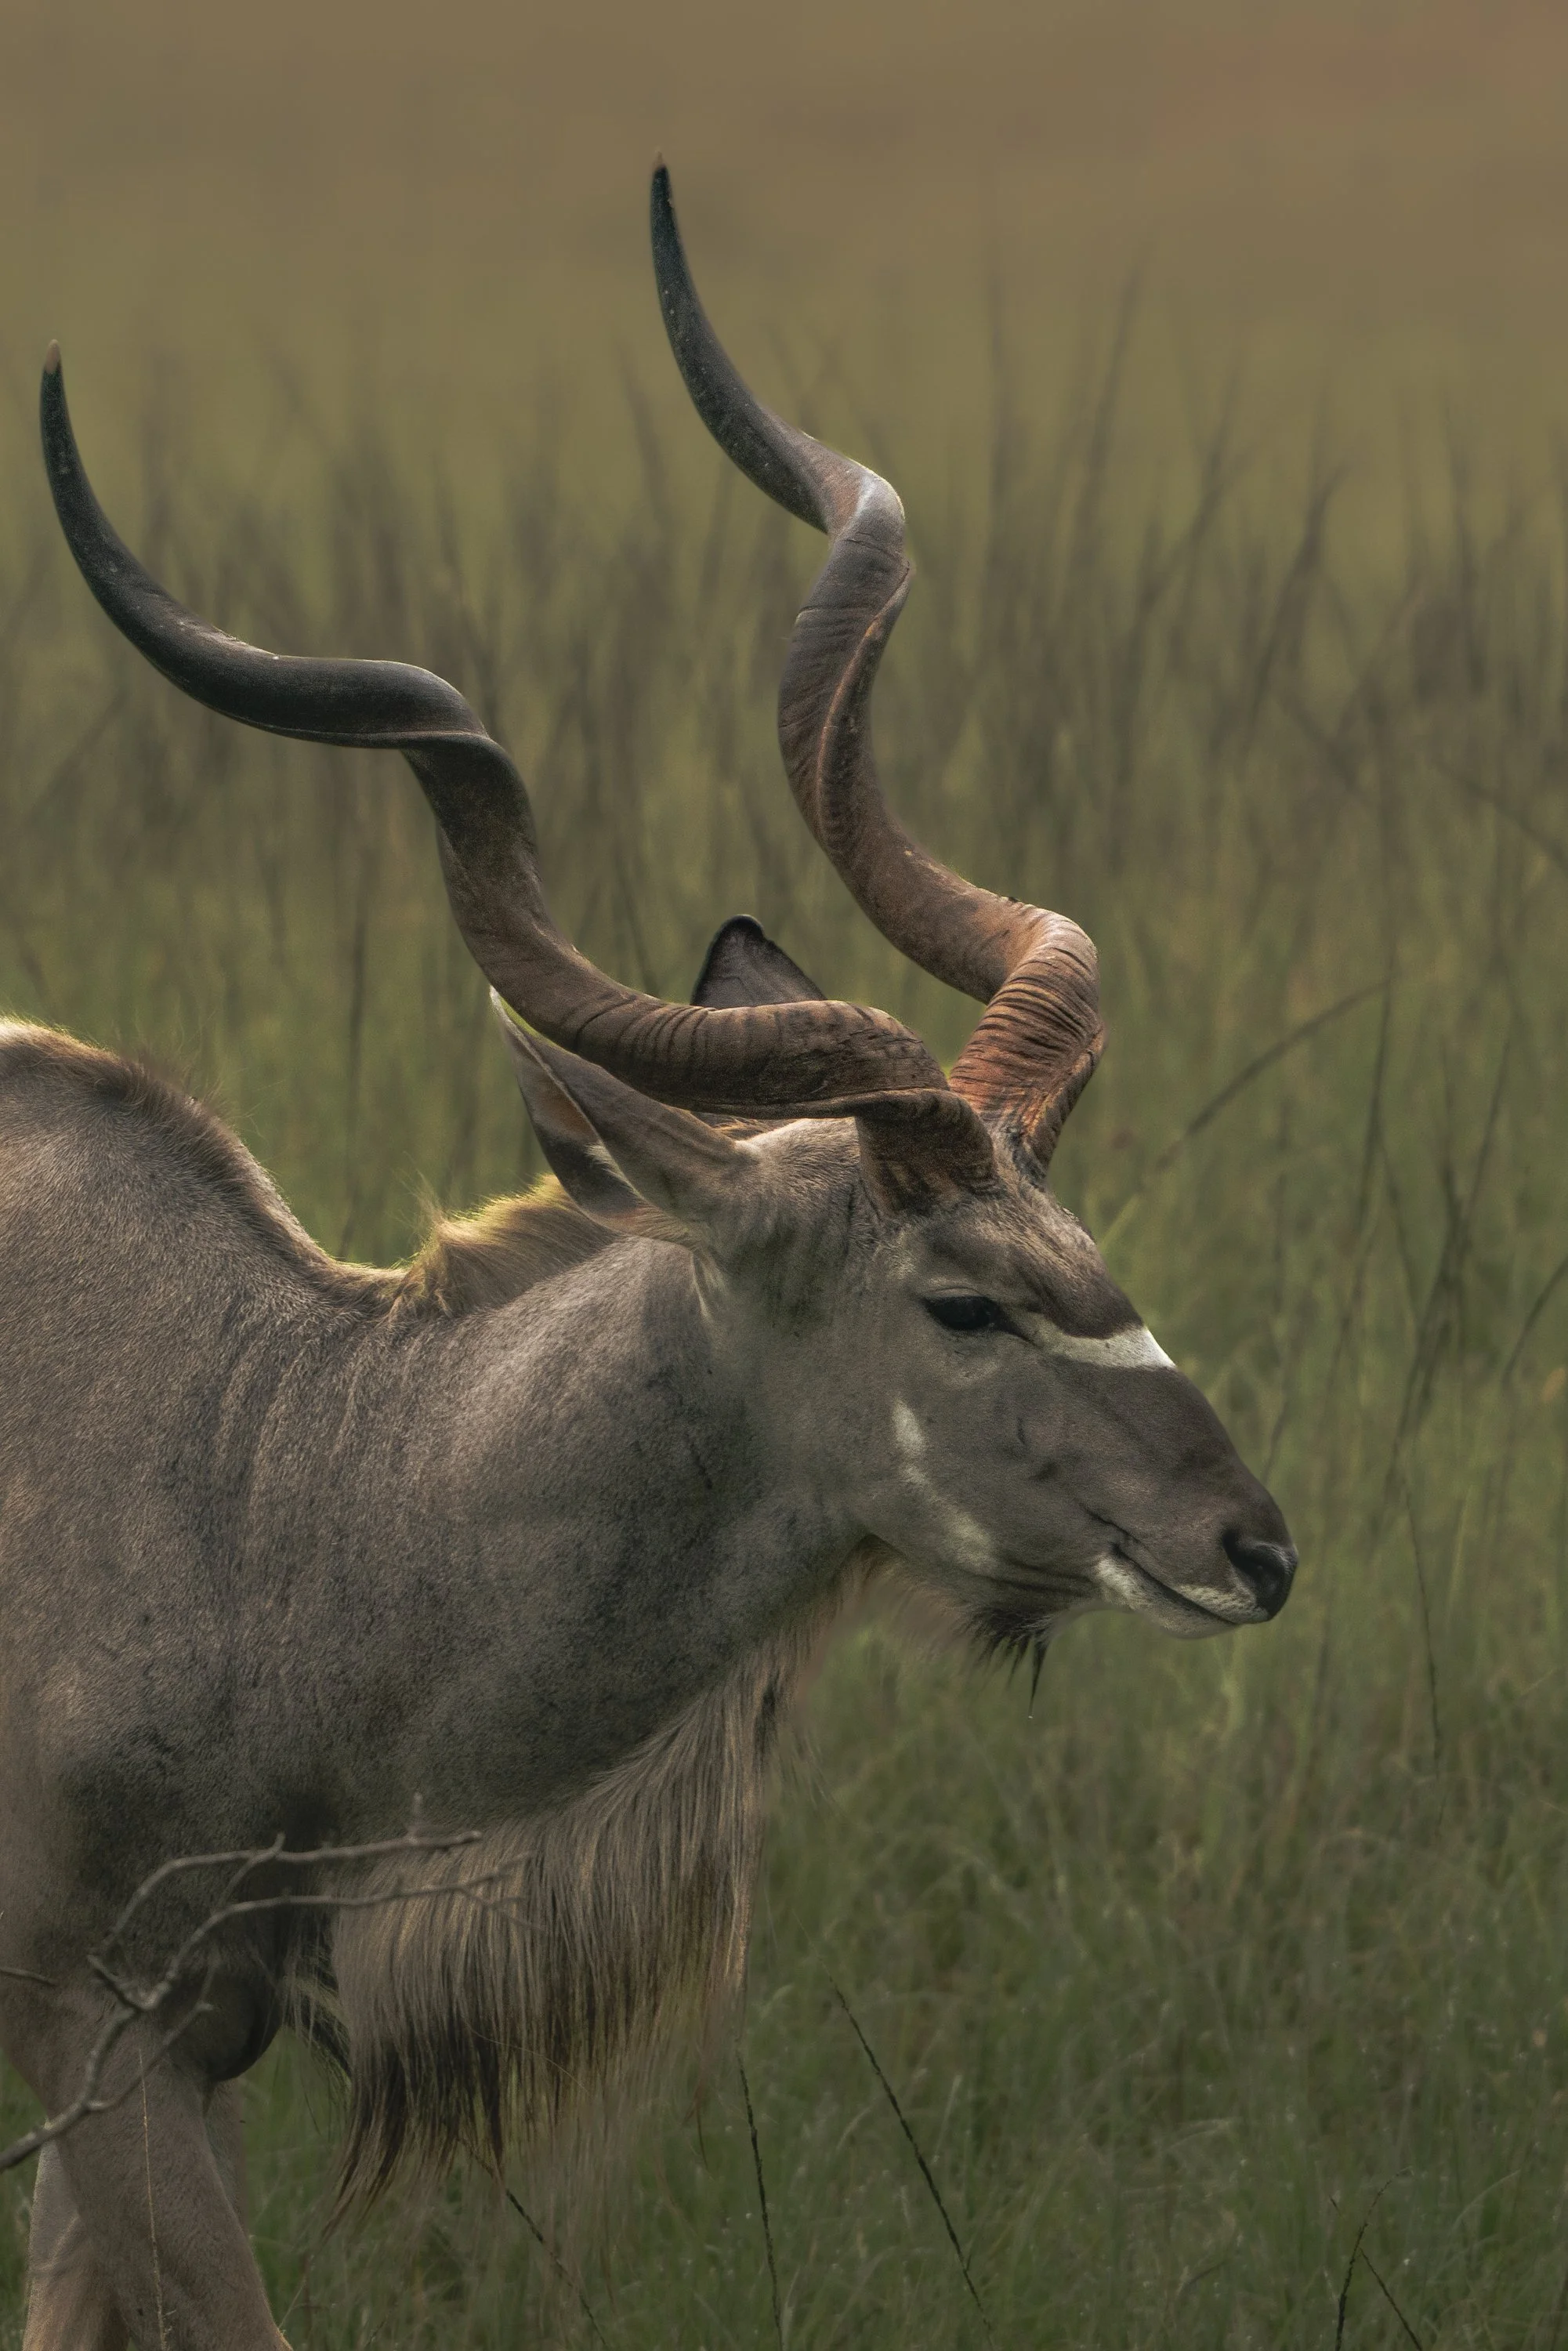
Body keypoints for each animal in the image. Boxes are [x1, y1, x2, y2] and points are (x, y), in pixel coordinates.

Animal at [0, 165, 1297, 2349]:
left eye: (1086, 1240)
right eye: (959, 1296)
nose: (1249, 1545)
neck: (263, 1481)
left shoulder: (177, 2050)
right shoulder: (105, 2036)